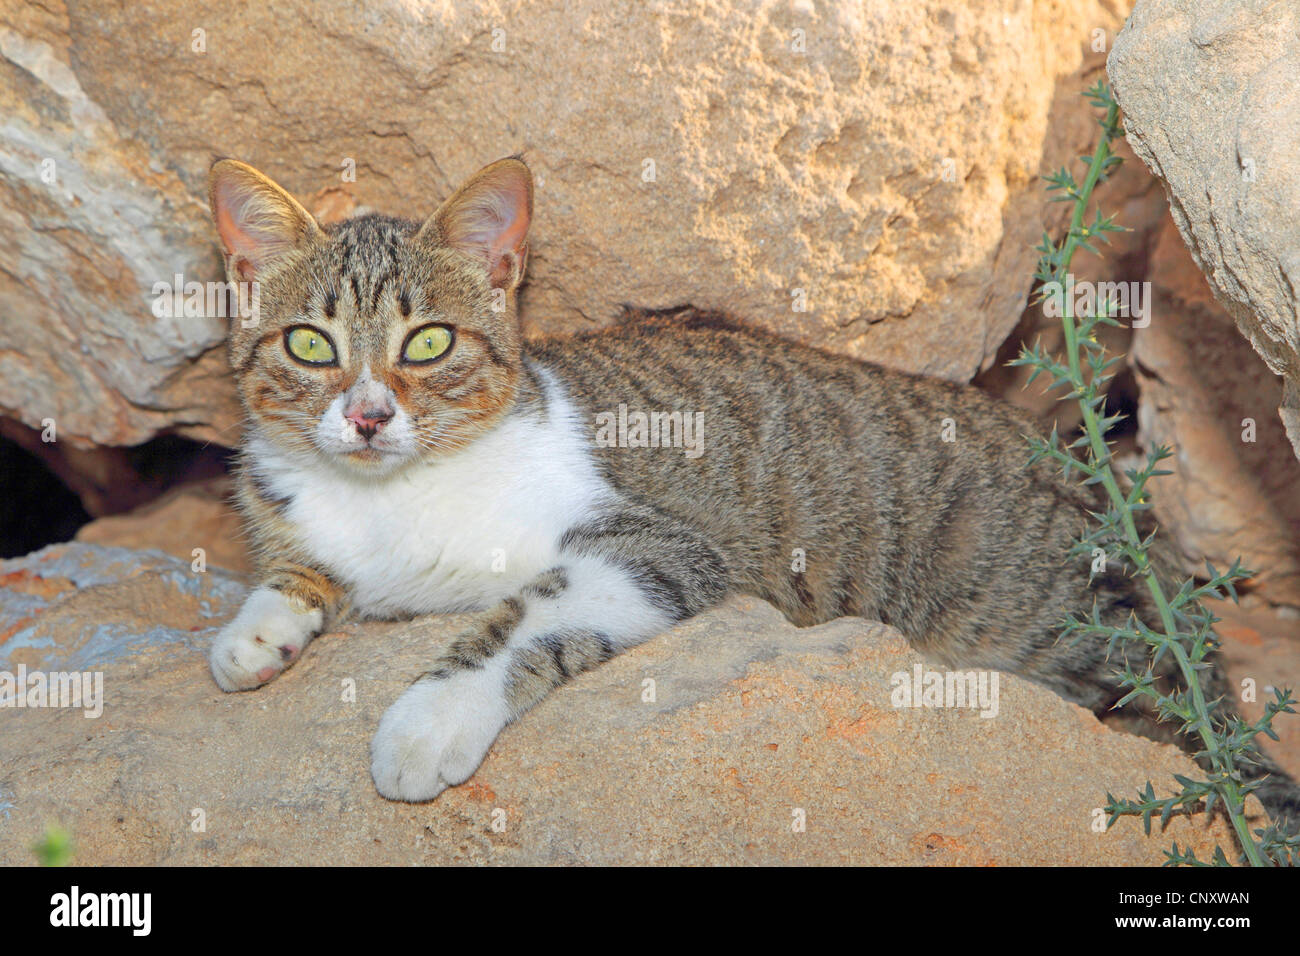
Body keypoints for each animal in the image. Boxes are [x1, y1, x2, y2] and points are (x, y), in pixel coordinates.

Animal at [208, 153, 1294, 827]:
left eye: (428, 342)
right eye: (311, 344)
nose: (367, 416)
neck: (394, 500)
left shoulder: (657, 544)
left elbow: (523, 611)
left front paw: (428, 720)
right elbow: (298, 567)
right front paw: (255, 631)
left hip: (1046, 626)